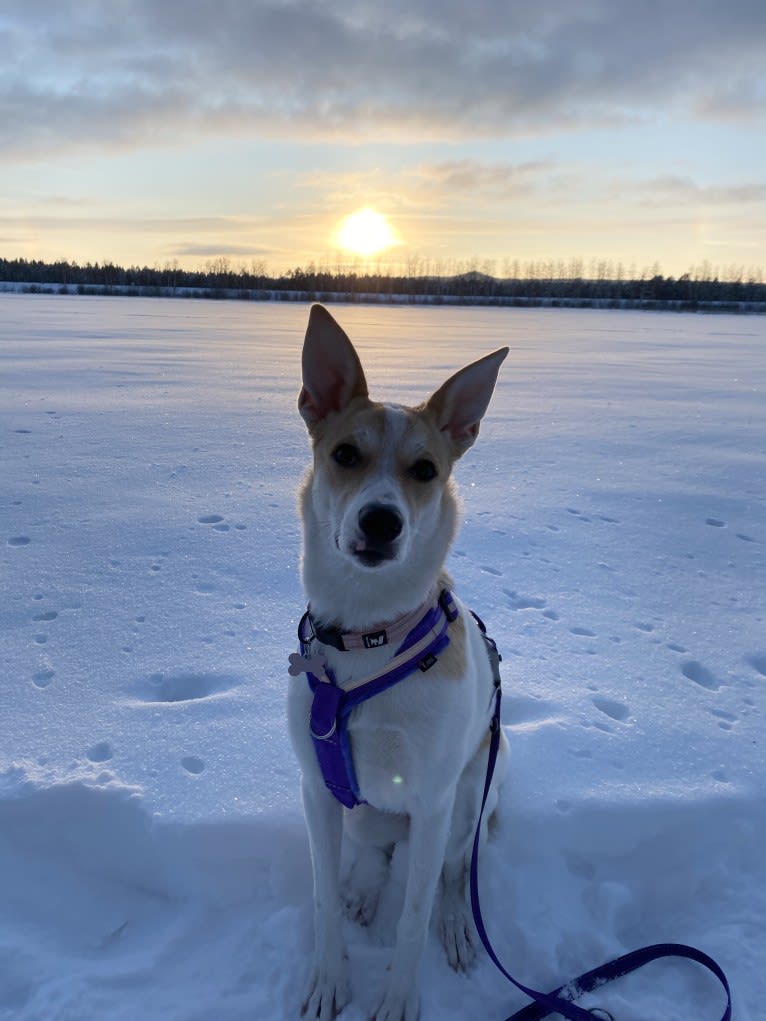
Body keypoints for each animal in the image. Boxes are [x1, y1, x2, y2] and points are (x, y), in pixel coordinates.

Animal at [288, 304, 510, 1021]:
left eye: (426, 470)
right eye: (345, 455)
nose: (382, 521)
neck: (370, 636)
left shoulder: (436, 798)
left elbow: (413, 913)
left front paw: (398, 995)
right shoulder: (316, 789)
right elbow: (323, 900)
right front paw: (328, 978)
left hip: (474, 790)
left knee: (451, 871)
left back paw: (458, 924)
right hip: (358, 809)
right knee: (380, 851)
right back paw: (364, 886)